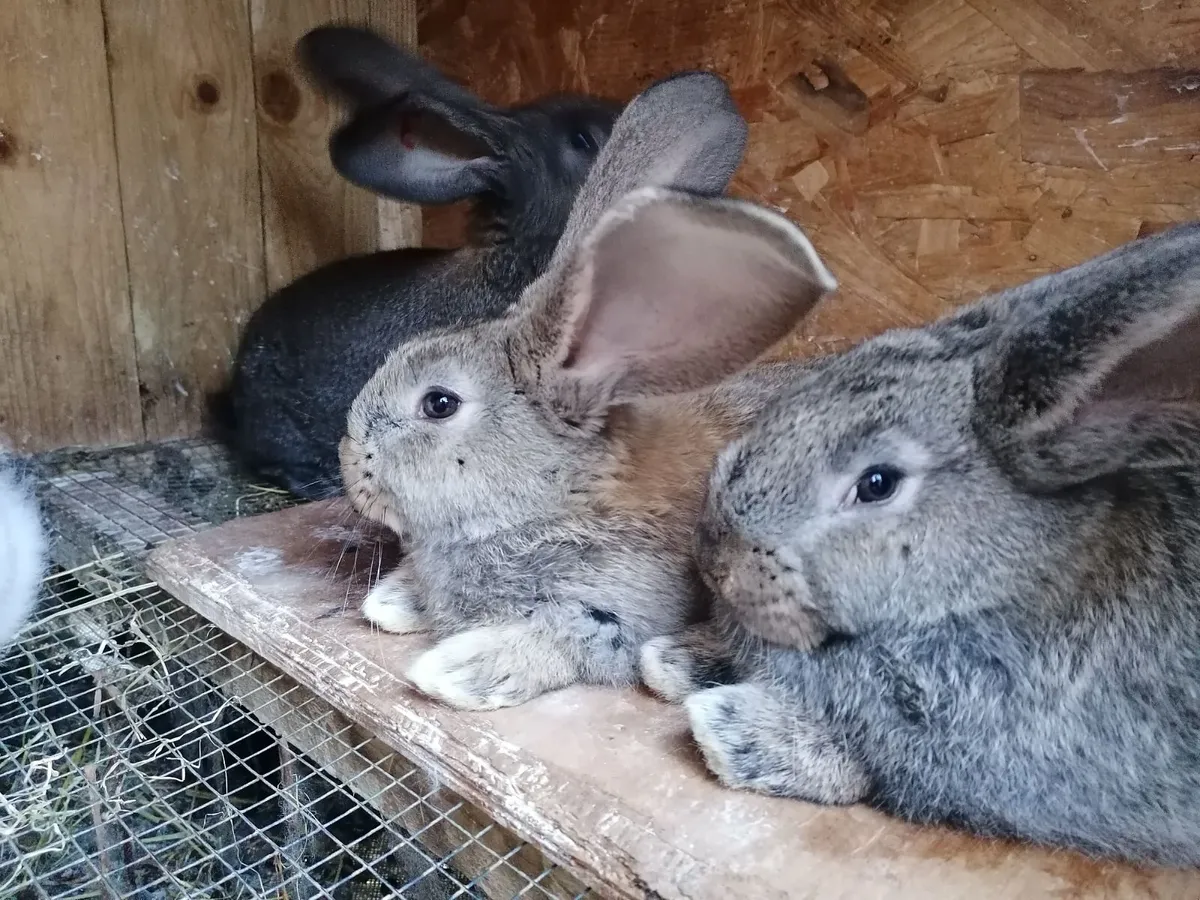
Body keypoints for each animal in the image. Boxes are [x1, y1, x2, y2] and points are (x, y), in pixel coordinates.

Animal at [337, 69, 840, 712]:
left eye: (439, 403)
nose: (349, 460)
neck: (561, 494)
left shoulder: (619, 610)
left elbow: (561, 637)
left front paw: (456, 670)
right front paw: (391, 601)